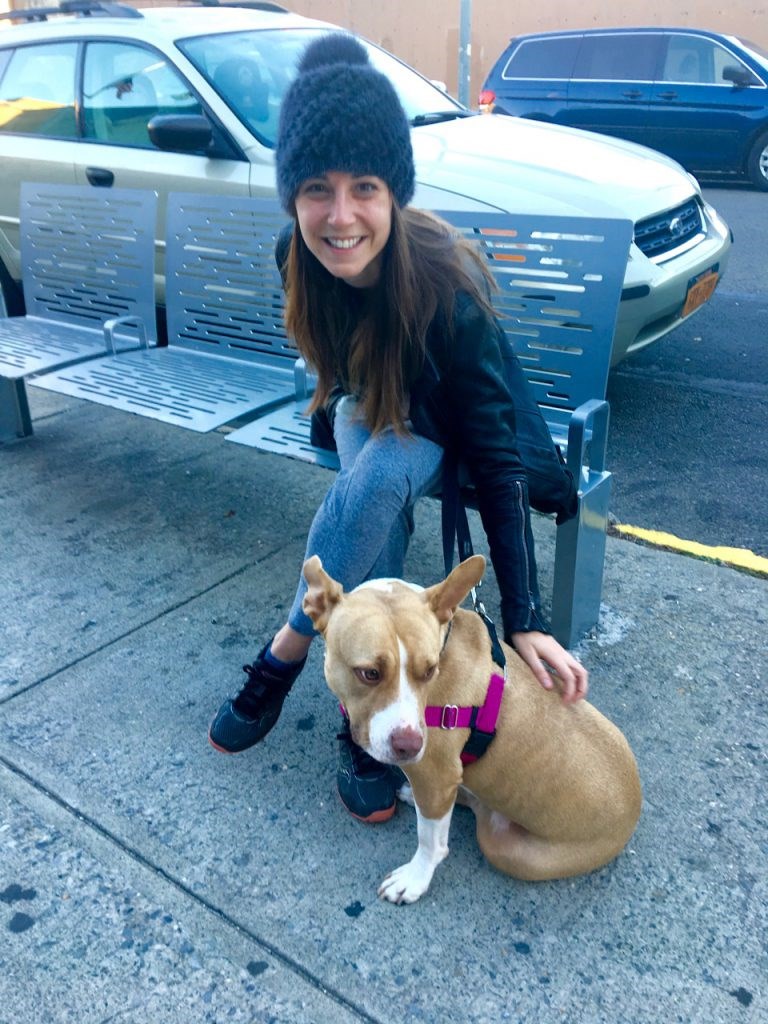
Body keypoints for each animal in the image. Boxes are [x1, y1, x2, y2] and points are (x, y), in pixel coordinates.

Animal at [303, 552, 643, 905]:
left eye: (430, 671)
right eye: (369, 673)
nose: (410, 746)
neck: (444, 643)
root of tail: (633, 810)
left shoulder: (435, 774)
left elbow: (431, 842)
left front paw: (414, 879)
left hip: (505, 848)